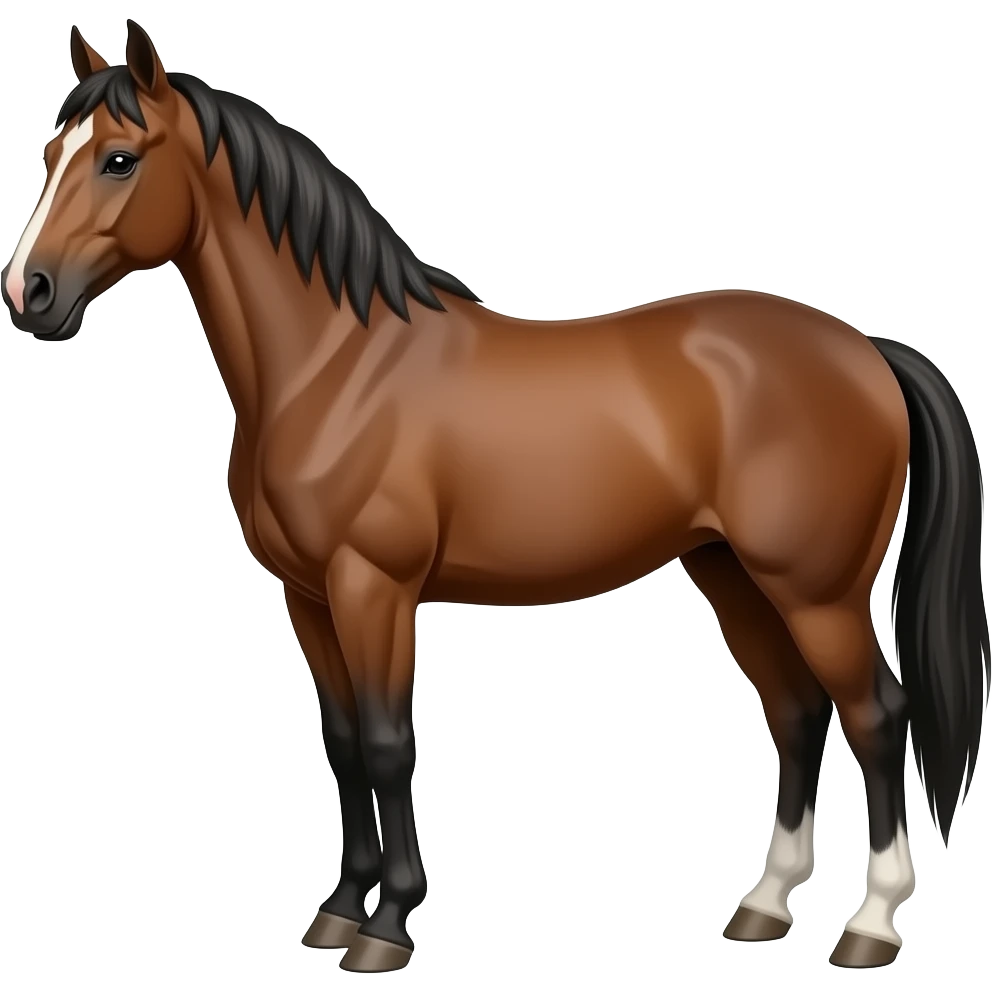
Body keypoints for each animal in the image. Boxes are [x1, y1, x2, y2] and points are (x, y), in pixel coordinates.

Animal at [3, 20, 988, 975]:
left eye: (119, 159)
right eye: (50, 152)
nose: (28, 293)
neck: (338, 366)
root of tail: (866, 350)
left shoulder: (374, 587)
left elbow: (388, 741)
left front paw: (387, 926)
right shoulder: (308, 595)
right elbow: (343, 743)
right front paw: (337, 910)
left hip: (816, 592)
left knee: (876, 716)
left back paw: (871, 925)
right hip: (733, 575)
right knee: (796, 713)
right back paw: (763, 907)